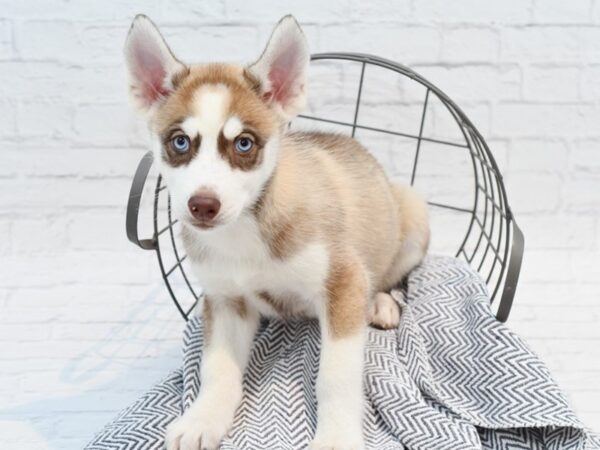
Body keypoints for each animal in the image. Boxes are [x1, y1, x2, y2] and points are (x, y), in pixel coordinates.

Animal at [124, 14, 428, 450]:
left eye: (244, 143)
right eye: (180, 142)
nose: (203, 205)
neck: (243, 231)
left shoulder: (343, 282)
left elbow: (336, 376)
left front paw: (336, 437)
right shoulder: (226, 300)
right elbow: (217, 369)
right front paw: (203, 418)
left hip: (412, 210)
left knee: (392, 276)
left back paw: (382, 303)